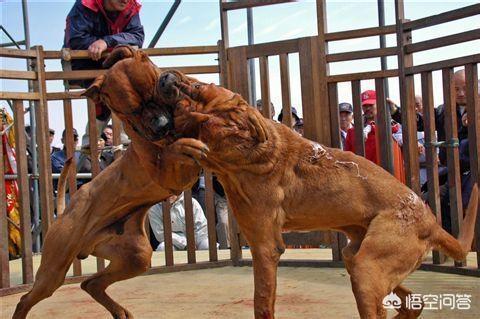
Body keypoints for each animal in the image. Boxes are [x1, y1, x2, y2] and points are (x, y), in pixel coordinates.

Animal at [12, 47, 208, 319]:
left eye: (154, 93)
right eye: (132, 111)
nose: (162, 125)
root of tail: (65, 212)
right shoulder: (168, 175)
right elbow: (174, 150)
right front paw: (186, 144)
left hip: (136, 255)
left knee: (90, 283)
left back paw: (118, 310)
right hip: (53, 271)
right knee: (25, 299)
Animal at [157, 70, 476, 319]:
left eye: (197, 89)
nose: (165, 76)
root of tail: (432, 222)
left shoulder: (265, 247)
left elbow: (262, 302)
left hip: (367, 267)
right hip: (357, 256)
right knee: (413, 302)